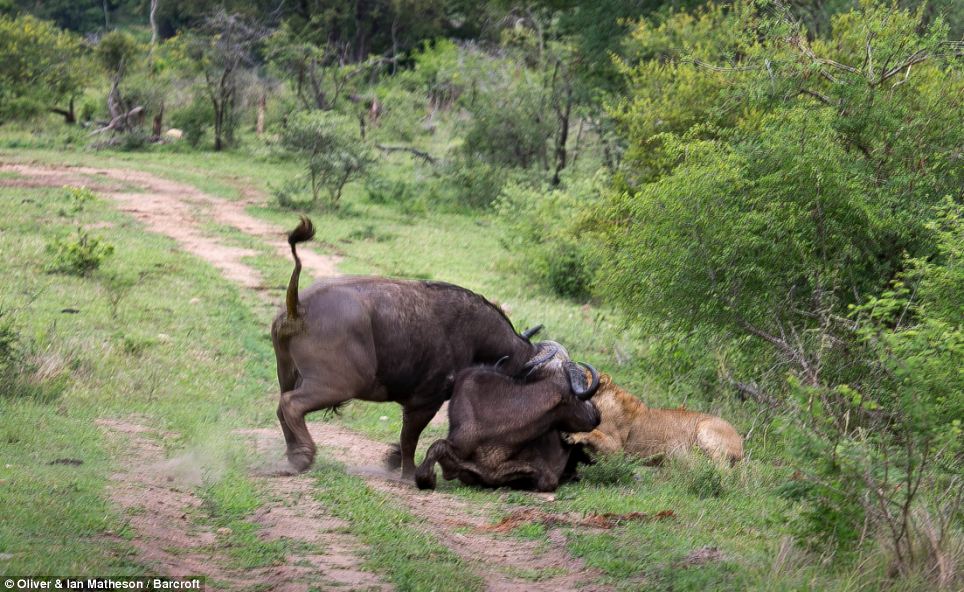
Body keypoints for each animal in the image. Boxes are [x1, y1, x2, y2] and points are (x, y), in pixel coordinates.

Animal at [274, 216, 552, 476]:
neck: (472, 335)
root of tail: (300, 307)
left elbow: (405, 438)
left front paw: (392, 461)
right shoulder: (424, 401)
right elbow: (410, 439)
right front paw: (409, 474)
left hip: (288, 373)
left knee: (280, 408)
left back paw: (292, 455)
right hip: (339, 385)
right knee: (291, 405)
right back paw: (304, 457)